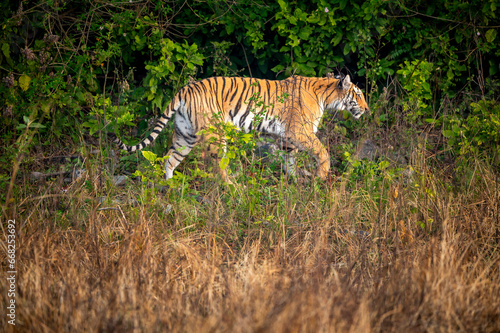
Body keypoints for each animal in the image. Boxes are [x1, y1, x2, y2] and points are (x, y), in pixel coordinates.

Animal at [108, 74, 368, 182]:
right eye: (358, 94)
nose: (366, 109)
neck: (326, 95)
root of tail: (185, 89)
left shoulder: (287, 137)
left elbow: (290, 160)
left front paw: (295, 181)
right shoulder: (299, 132)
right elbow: (322, 152)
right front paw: (322, 176)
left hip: (185, 135)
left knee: (170, 159)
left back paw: (169, 185)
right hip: (215, 134)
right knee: (217, 166)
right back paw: (232, 186)